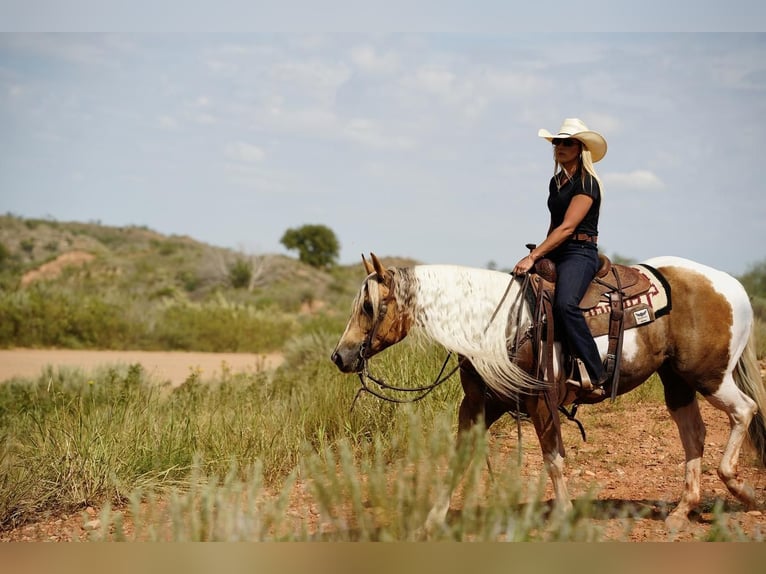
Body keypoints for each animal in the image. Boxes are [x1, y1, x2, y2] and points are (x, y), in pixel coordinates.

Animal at [332, 254, 766, 532]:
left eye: (368, 307)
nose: (340, 356)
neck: (501, 324)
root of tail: (730, 284)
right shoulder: (479, 405)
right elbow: (458, 461)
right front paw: (431, 522)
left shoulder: (541, 402)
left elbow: (553, 460)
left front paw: (563, 516)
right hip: (677, 379)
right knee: (694, 433)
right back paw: (682, 510)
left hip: (708, 376)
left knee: (743, 411)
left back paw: (739, 487)